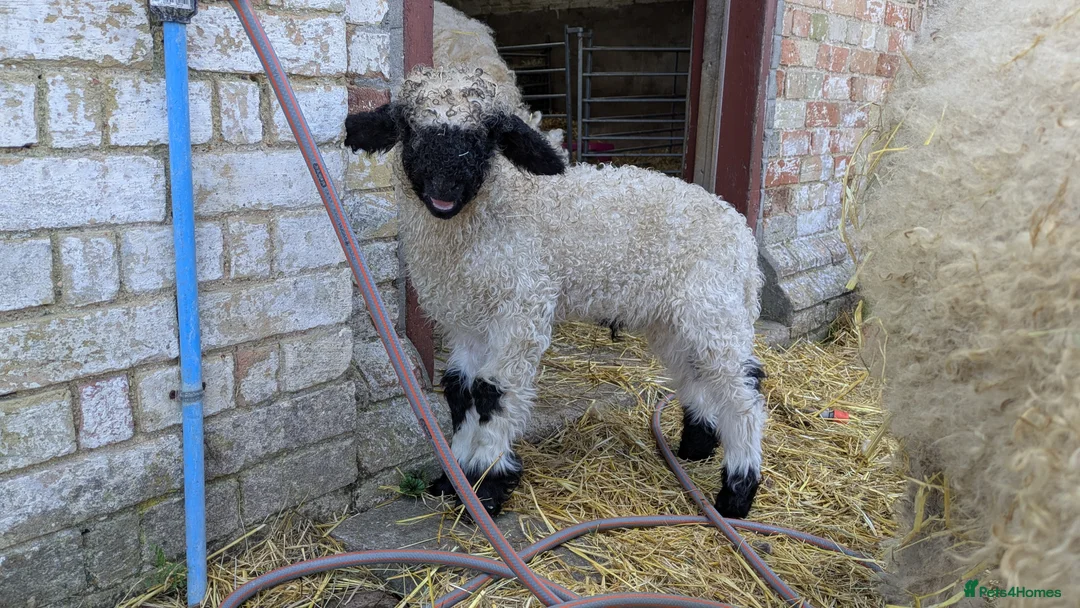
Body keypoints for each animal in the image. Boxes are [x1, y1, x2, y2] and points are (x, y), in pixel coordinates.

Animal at [345, 67, 766, 519]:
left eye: (487, 133)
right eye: (408, 127)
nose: (445, 185)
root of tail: (740, 231)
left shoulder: (522, 305)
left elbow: (492, 391)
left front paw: (486, 485)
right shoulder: (466, 316)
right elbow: (460, 389)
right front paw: (453, 478)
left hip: (713, 305)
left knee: (742, 391)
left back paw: (737, 492)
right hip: (672, 316)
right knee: (695, 372)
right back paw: (695, 447)